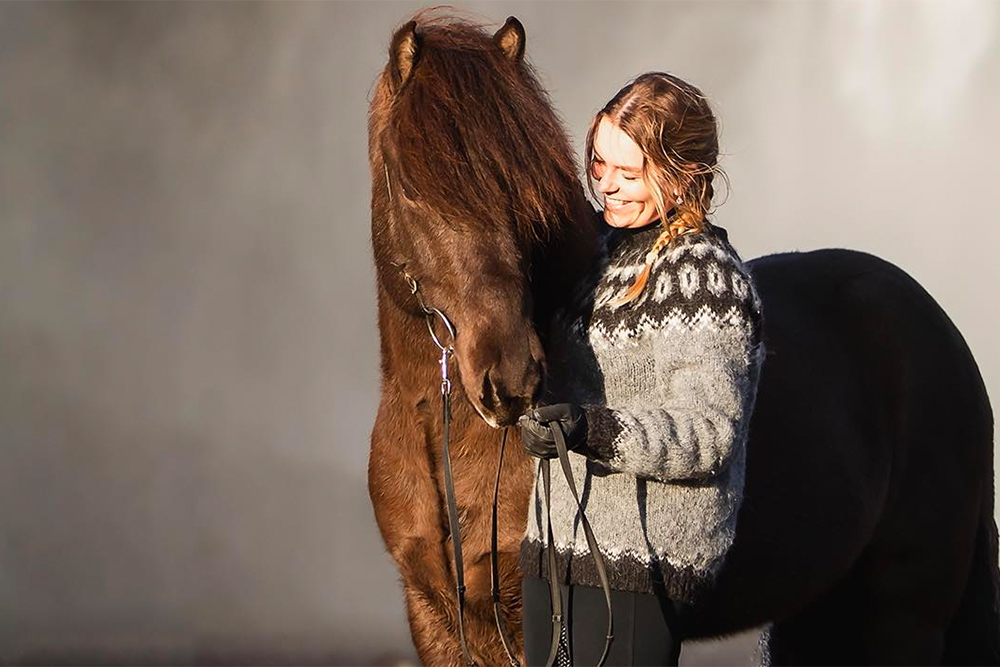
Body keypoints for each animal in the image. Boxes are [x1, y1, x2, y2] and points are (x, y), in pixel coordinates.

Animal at [370, 10, 1000, 667]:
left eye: (526, 195)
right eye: (411, 187)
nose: (512, 379)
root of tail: (940, 329)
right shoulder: (437, 618)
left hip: (905, 613)